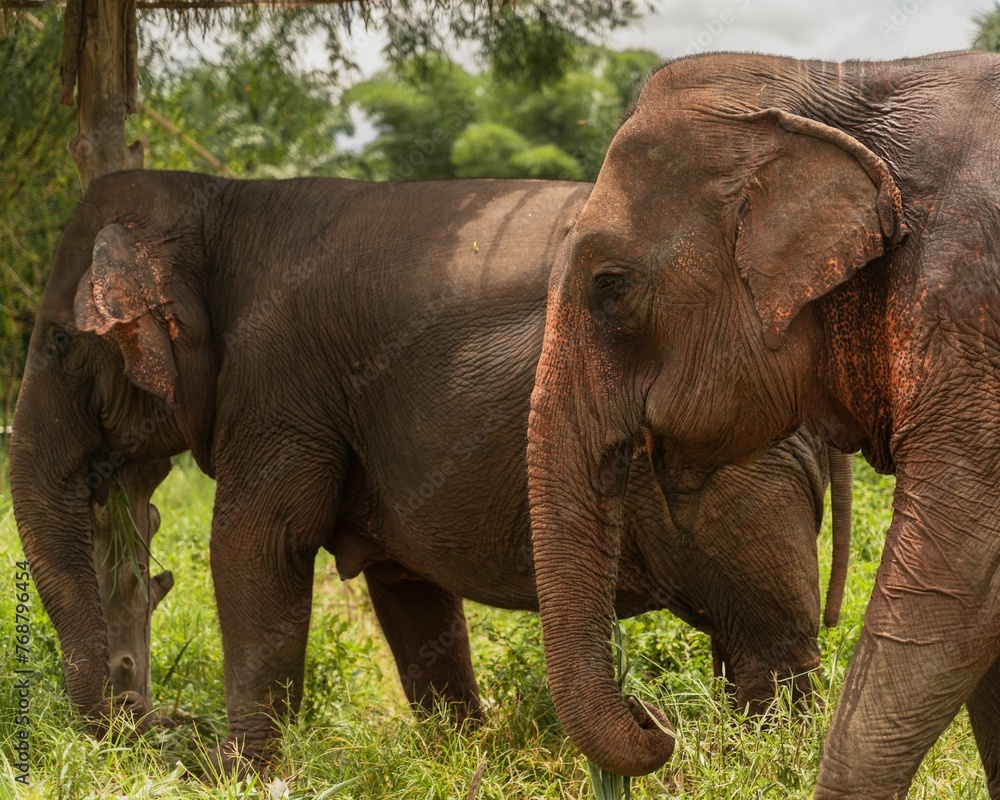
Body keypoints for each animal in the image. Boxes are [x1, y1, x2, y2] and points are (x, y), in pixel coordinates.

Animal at [10, 170, 850, 772]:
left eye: (57, 341)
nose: (144, 729)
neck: (220, 198)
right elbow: (406, 586)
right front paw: (457, 752)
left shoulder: (280, 386)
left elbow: (255, 546)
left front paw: (235, 774)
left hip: (748, 465)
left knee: (769, 641)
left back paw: (764, 761)